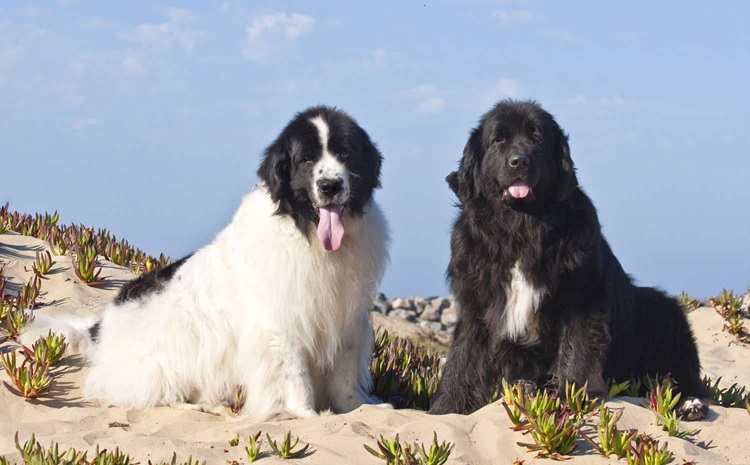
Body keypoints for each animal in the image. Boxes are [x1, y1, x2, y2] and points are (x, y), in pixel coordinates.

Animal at [21, 106, 390, 420]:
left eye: (345, 154)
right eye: (307, 158)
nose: (330, 185)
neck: (306, 233)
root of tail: (99, 328)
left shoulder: (346, 319)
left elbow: (344, 376)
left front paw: (359, 408)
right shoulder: (280, 325)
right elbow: (294, 376)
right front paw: (307, 416)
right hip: (160, 364)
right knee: (157, 392)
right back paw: (202, 406)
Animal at [428, 99, 712, 418]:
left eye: (536, 138)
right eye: (498, 140)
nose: (519, 161)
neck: (521, 228)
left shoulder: (581, 296)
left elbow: (577, 348)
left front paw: (572, 398)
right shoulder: (476, 303)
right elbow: (463, 357)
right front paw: (446, 408)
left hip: (665, 314)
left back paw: (689, 403)